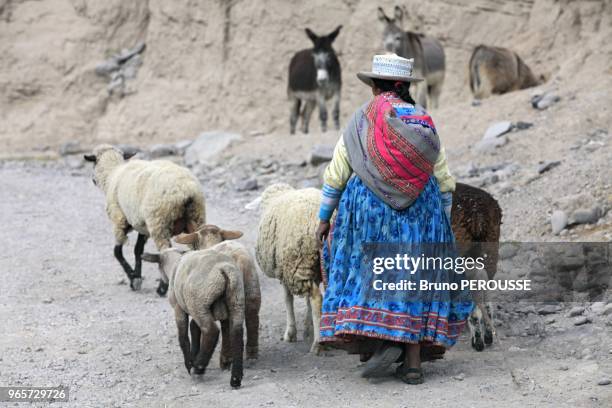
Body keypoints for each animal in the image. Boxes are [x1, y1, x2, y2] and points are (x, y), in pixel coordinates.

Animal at [84, 143, 206, 294]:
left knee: (166, 251)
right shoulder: (141, 225)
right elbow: (138, 250)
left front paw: (133, 278)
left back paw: (162, 288)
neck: (112, 174)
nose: (93, 180)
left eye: (94, 162)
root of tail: (186, 191)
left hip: (158, 221)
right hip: (196, 217)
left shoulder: (119, 221)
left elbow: (117, 252)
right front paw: (137, 275)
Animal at [252, 184, 322, 354]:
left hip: (299, 261)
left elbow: (287, 299)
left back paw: (318, 344)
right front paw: (307, 327)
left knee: (317, 299)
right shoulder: (311, 270)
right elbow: (305, 302)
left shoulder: (285, 271)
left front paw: (290, 333)